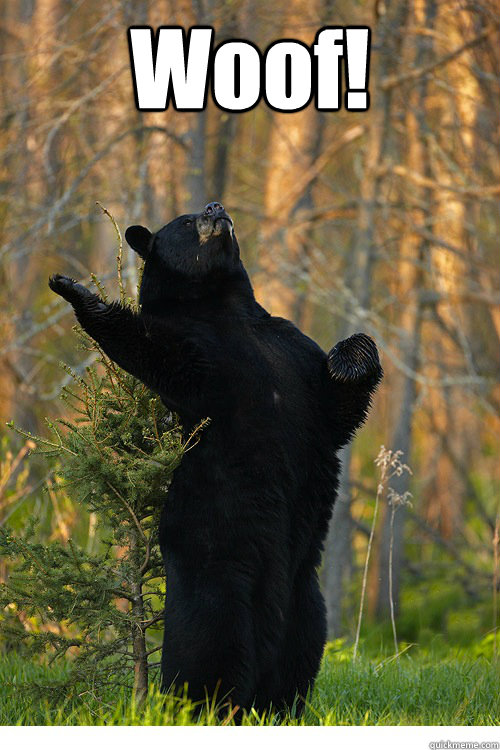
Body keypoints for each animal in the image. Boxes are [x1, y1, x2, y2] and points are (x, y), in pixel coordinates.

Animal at [48, 203, 380, 720]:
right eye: (185, 221)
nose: (215, 208)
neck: (225, 309)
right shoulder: (202, 358)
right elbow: (151, 351)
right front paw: (75, 289)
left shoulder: (291, 350)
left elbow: (337, 408)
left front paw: (349, 358)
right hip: (217, 561)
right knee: (210, 643)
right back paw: (199, 706)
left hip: (304, 587)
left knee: (304, 644)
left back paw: (280, 708)